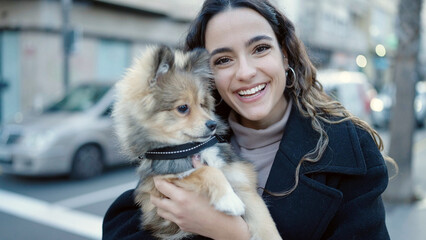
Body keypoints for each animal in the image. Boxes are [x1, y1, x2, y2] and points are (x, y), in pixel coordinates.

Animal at [111, 45, 282, 240]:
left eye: (202, 104)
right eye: (183, 108)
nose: (212, 124)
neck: (191, 147)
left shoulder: (243, 184)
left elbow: (266, 224)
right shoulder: (168, 181)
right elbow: (208, 171)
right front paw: (228, 199)